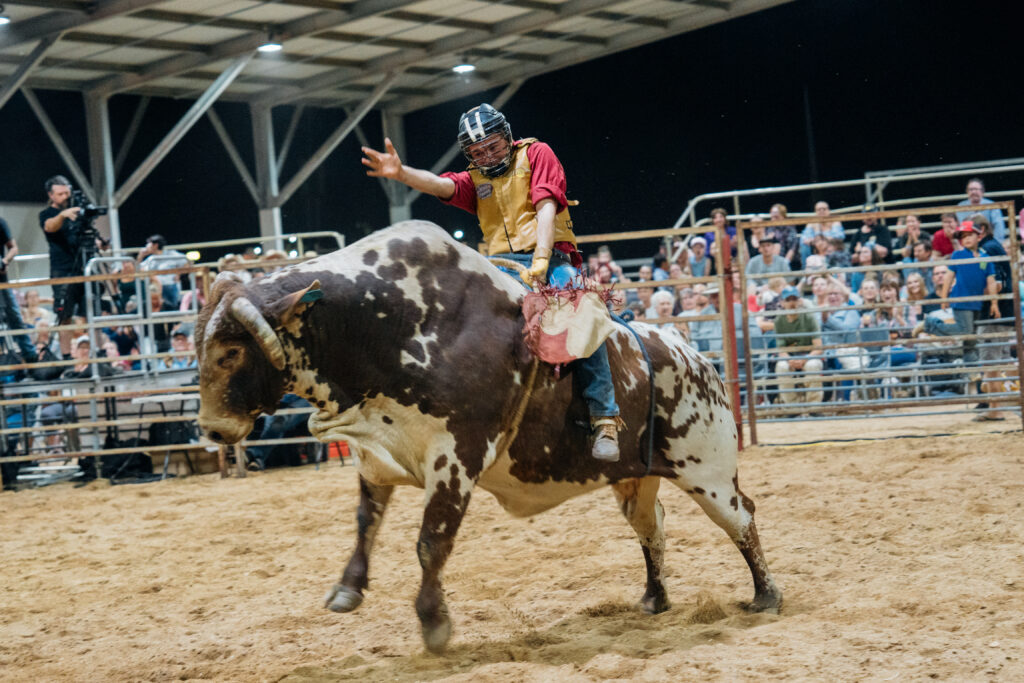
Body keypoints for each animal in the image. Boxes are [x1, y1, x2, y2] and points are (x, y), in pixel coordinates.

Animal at [195, 222, 778, 655]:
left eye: (231, 351)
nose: (212, 428)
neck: (390, 324)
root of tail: (694, 356)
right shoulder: (376, 453)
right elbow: (366, 522)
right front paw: (347, 589)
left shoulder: (456, 457)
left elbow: (431, 542)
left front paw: (434, 624)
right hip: (637, 479)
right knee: (651, 527)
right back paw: (654, 599)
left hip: (708, 470)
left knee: (742, 518)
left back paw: (765, 595)